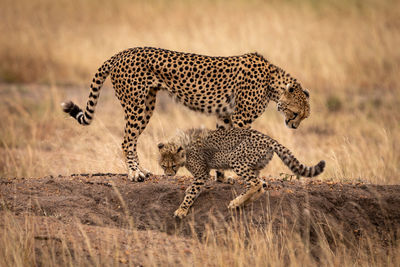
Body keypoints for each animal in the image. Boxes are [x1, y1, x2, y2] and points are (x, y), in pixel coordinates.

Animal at [63, 47, 312, 182]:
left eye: (305, 117)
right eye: (295, 113)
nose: (294, 126)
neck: (272, 81)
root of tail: (122, 53)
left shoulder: (225, 117)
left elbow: (222, 145)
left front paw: (222, 178)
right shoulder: (241, 118)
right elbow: (239, 146)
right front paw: (237, 177)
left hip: (146, 105)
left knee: (131, 140)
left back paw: (141, 170)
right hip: (135, 105)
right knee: (126, 141)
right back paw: (134, 173)